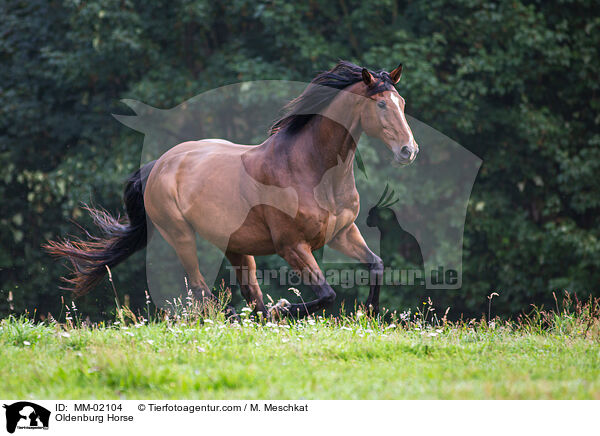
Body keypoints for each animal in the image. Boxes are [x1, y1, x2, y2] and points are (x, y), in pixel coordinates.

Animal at [44, 60, 420, 316]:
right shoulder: (292, 246)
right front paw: (285, 308)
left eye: (401, 103)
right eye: (381, 104)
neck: (311, 170)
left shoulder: (341, 233)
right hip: (180, 235)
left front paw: (368, 314)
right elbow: (327, 294)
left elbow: (376, 265)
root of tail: (159, 165)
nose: (409, 151)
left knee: (249, 294)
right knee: (202, 290)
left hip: (238, 247)